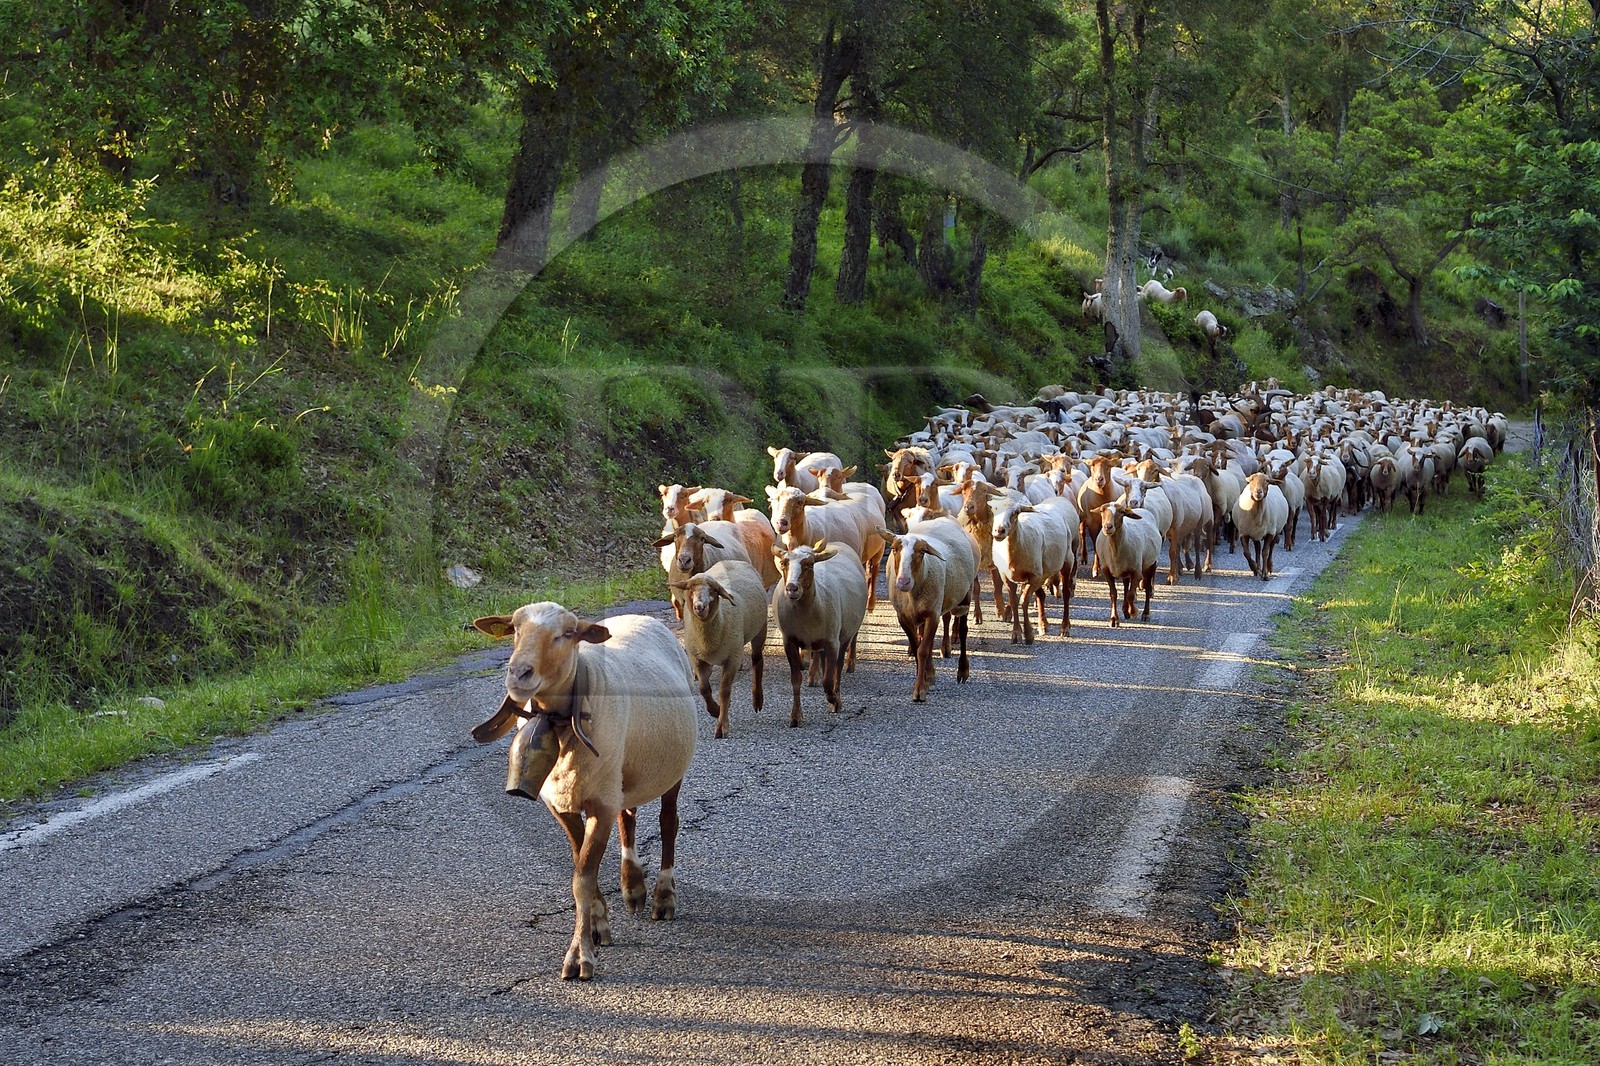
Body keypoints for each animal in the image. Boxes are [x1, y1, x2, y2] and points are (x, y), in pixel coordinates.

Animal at [470, 604, 696, 981]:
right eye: (514, 629)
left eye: (567, 633)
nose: (518, 673)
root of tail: (641, 617)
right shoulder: (563, 803)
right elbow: (581, 867)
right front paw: (597, 924)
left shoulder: (600, 805)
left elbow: (582, 879)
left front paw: (579, 956)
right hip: (617, 770)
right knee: (627, 816)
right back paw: (632, 886)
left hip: (669, 769)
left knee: (668, 823)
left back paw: (663, 896)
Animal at [670, 560, 768, 740]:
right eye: (690, 589)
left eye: (713, 591)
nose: (699, 607)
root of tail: (733, 561)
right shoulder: (697, 658)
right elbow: (704, 689)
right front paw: (715, 710)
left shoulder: (733, 658)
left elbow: (724, 691)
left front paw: (722, 726)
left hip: (760, 630)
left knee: (757, 661)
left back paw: (757, 699)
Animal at [772, 541, 869, 727]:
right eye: (783, 563)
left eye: (809, 565)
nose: (791, 589)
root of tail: (837, 543)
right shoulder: (790, 641)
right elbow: (796, 680)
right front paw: (795, 716)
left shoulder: (833, 642)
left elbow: (828, 679)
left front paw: (834, 700)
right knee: (825, 665)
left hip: (844, 635)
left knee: (837, 668)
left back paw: (836, 698)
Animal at [881, 516, 979, 702]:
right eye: (894, 549)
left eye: (921, 552)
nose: (903, 582)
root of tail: (946, 517)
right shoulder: (904, 616)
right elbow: (917, 647)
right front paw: (925, 680)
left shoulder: (933, 614)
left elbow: (923, 651)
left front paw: (920, 690)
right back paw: (931, 673)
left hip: (966, 594)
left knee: (963, 630)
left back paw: (962, 670)